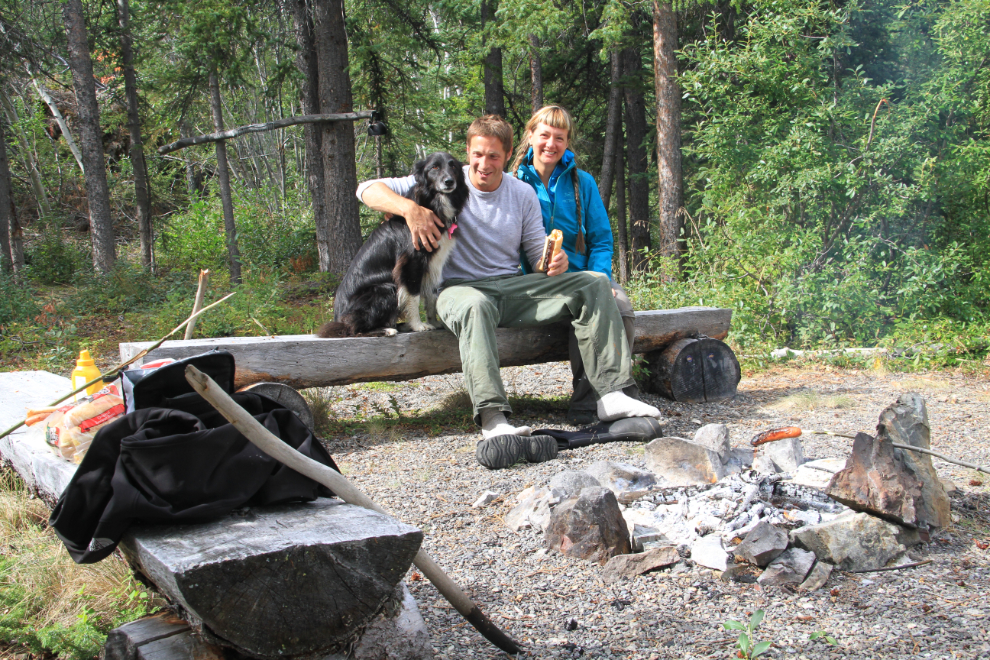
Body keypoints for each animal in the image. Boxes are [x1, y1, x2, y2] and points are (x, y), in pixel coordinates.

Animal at [320, 154, 470, 338]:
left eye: (453, 166)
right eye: (434, 167)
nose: (449, 181)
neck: (433, 203)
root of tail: (338, 316)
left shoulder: (433, 263)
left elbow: (431, 294)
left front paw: (433, 322)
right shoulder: (411, 262)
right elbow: (414, 295)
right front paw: (418, 325)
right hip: (386, 288)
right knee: (353, 328)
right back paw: (386, 329)